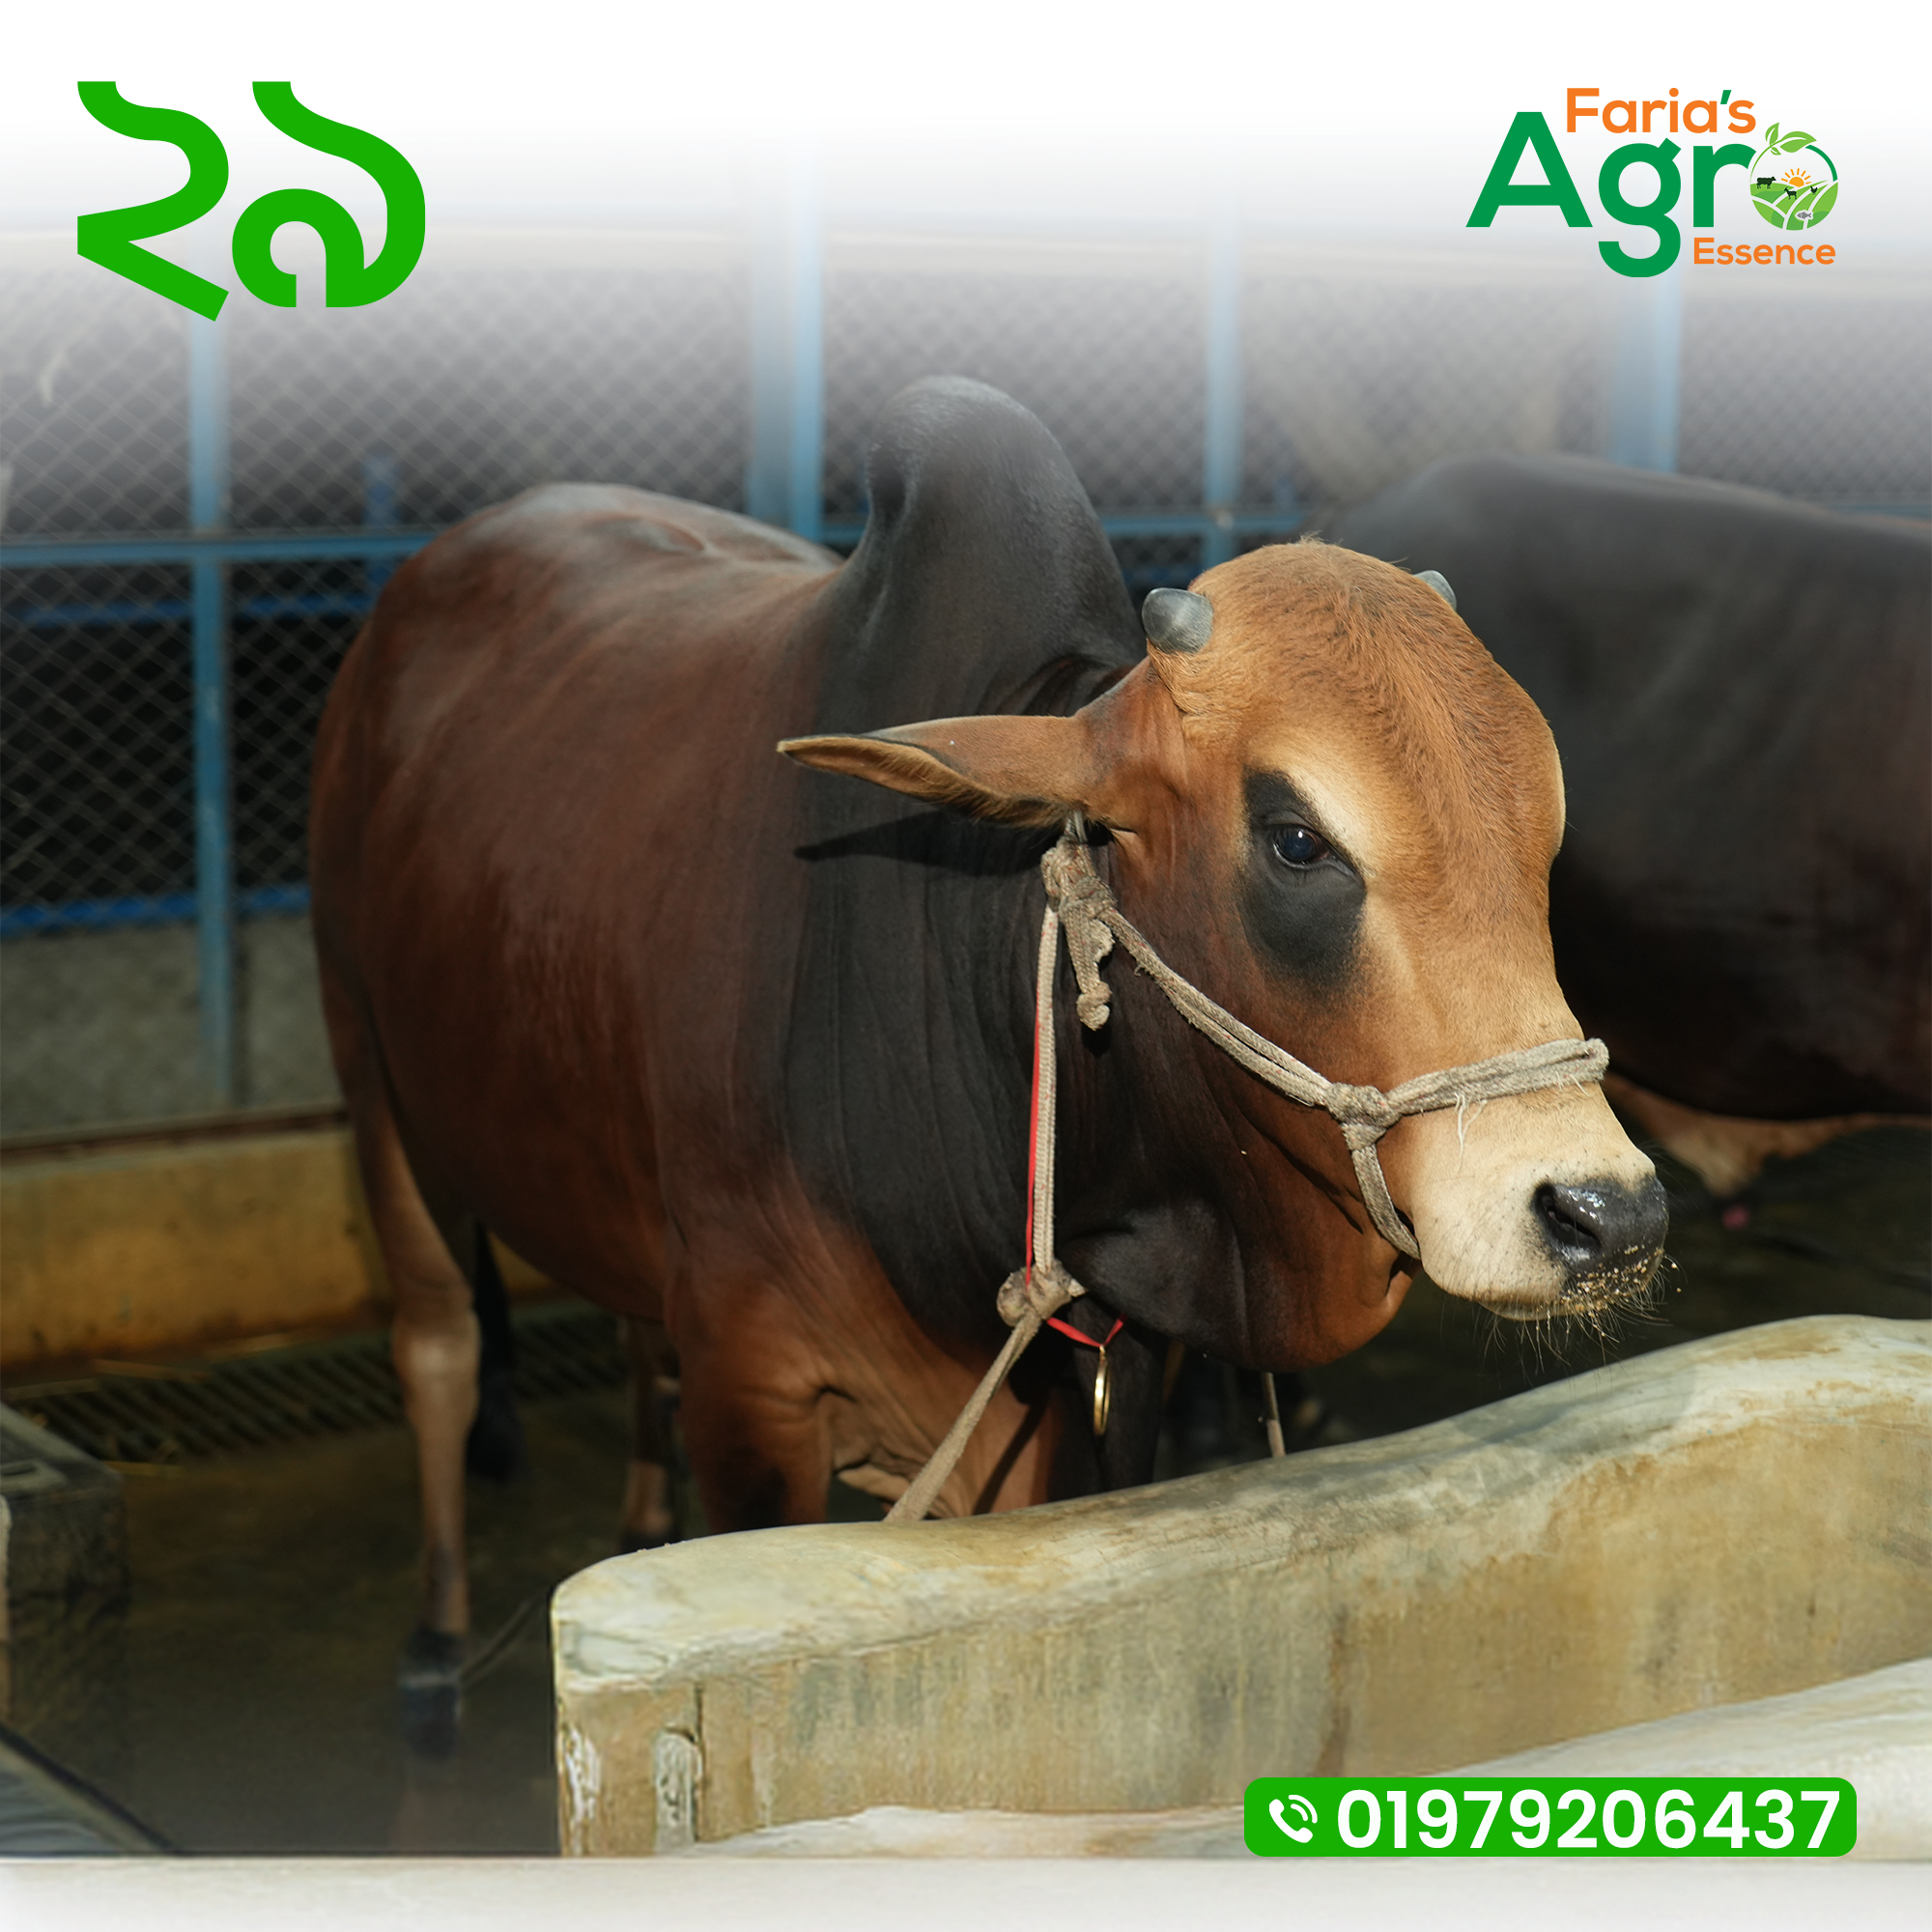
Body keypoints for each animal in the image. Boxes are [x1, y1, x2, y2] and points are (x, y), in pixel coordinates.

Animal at [309, 380, 1666, 1728]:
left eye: (1543, 830)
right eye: (1293, 838)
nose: (1603, 1213)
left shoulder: (1098, 1407)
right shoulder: (754, 1400)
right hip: (366, 1063)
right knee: (436, 1335)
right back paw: (436, 1632)